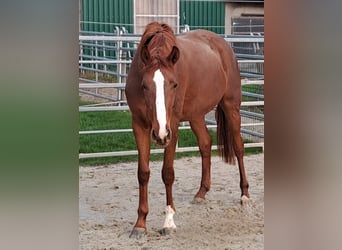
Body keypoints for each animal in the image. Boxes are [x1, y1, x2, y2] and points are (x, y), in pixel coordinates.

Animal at [125, 22, 248, 238]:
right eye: (144, 85)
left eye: (174, 84)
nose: (160, 135)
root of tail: (222, 44)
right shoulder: (139, 125)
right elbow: (143, 173)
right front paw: (140, 224)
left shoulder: (172, 126)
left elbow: (167, 173)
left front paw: (168, 222)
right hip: (196, 115)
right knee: (206, 144)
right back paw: (201, 193)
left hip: (231, 107)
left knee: (239, 147)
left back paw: (244, 195)